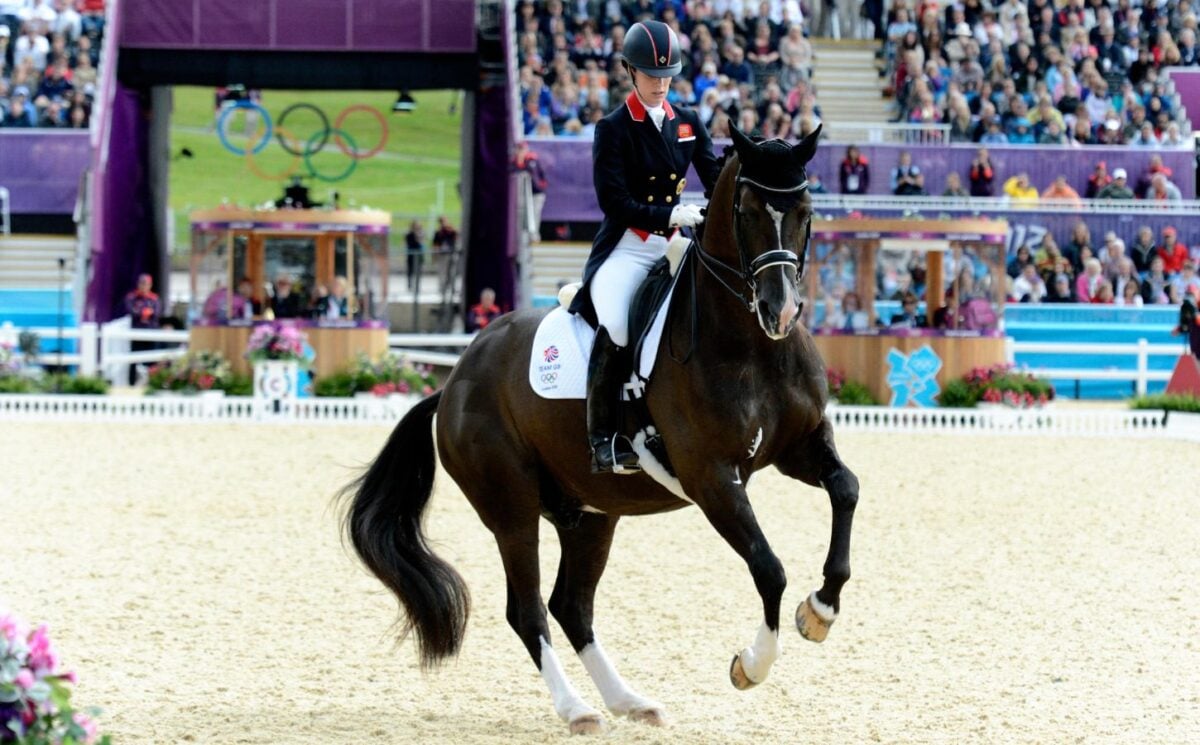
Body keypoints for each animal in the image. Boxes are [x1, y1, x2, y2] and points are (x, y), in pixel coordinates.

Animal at [343, 124, 859, 734]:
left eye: (805, 210)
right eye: (749, 210)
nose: (779, 311)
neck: (751, 344)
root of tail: (454, 382)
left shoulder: (798, 447)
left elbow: (846, 489)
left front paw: (821, 610)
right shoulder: (712, 478)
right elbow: (769, 568)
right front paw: (751, 665)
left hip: (590, 514)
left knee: (572, 606)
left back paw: (629, 702)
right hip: (511, 509)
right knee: (529, 610)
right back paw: (577, 710)